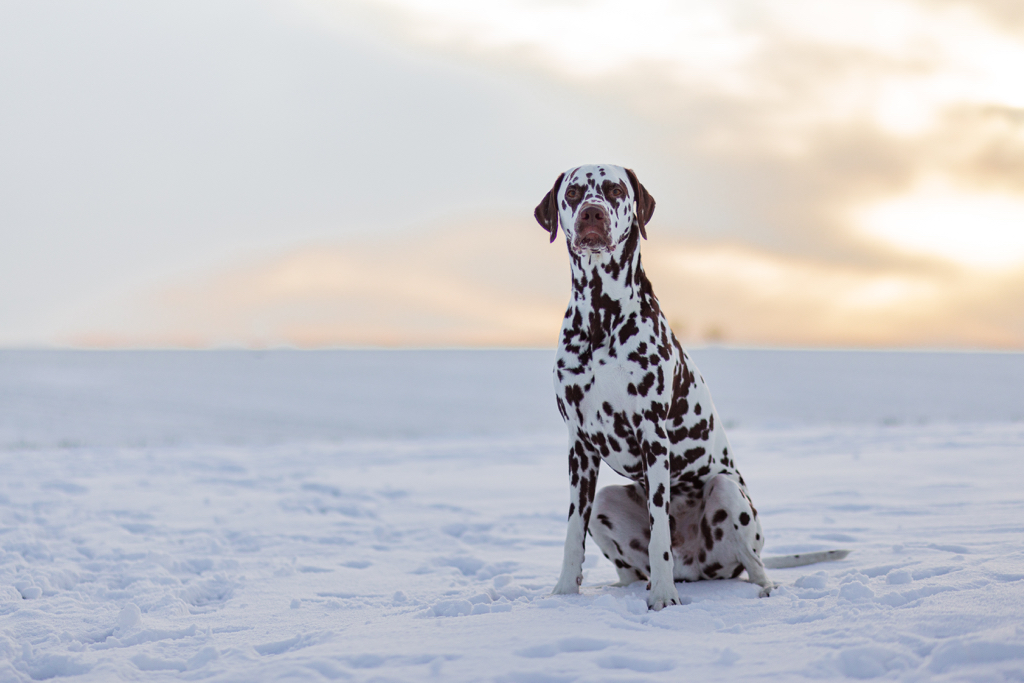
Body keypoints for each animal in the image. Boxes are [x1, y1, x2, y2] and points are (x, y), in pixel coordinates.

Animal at [536, 163, 847, 610]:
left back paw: (761, 589)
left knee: (754, 564)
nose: (592, 213)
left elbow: (659, 535)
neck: (600, 318)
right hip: (605, 504)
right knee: (629, 568)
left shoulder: (652, 435)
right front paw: (563, 593)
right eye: (574, 193)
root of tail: (696, 567)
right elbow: (572, 532)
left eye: (614, 190)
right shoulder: (580, 447)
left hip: (728, 492)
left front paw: (665, 599)